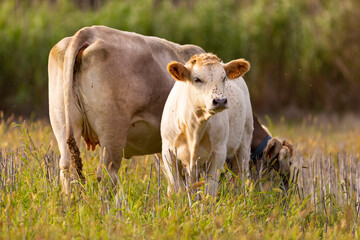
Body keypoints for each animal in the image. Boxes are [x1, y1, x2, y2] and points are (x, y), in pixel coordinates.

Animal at [160, 53, 253, 196]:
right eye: (197, 79)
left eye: (224, 78)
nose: (220, 101)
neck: (194, 127)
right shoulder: (168, 152)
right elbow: (177, 188)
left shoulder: (218, 152)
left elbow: (210, 189)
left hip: (244, 144)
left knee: (240, 176)